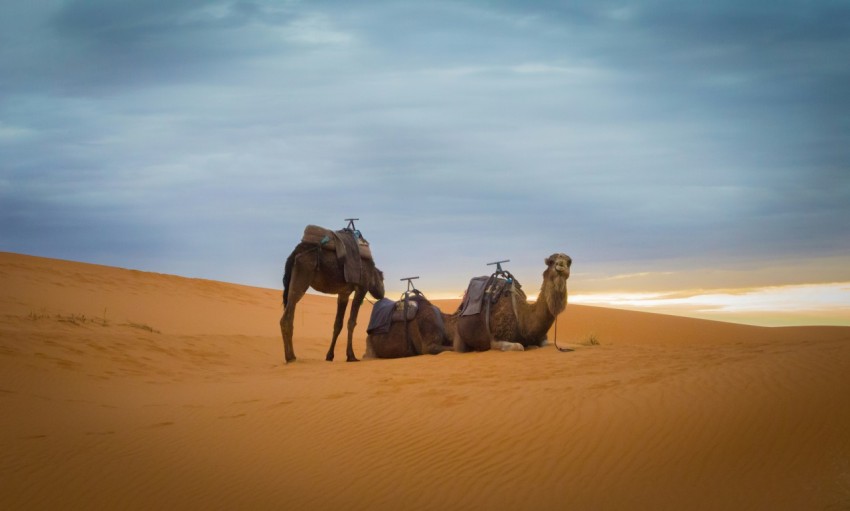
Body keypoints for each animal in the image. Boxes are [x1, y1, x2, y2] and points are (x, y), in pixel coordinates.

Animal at [279, 226, 385, 363]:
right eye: (383, 279)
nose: (382, 293)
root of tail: (295, 252)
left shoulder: (344, 293)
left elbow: (338, 324)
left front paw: (329, 356)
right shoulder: (362, 288)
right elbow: (351, 322)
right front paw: (351, 356)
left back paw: (291, 356)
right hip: (303, 275)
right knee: (287, 316)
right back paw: (290, 357)